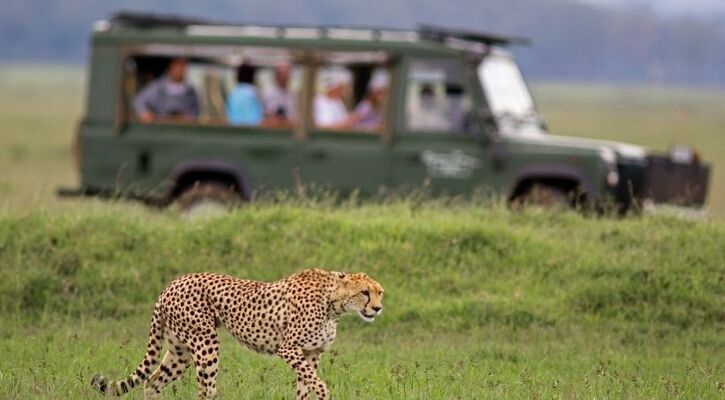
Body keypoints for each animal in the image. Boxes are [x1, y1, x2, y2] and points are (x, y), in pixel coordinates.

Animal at [90, 268, 384, 398]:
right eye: (364, 292)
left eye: (380, 292)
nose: (378, 308)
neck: (334, 302)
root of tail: (172, 284)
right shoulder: (289, 349)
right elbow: (317, 383)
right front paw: (324, 393)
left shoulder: (311, 353)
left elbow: (305, 386)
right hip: (205, 343)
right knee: (206, 390)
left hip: (180, 352)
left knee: (152, 382)